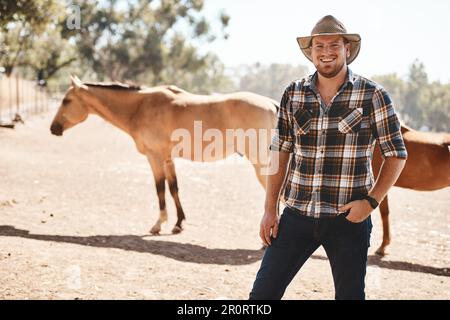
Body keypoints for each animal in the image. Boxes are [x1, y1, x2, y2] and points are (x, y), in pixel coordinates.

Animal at [50, 76, 278, 234]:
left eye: (66, 100)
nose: (53, 128)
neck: (141, 106)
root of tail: (272, 104)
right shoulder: (168, 159)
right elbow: (174, 188)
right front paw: (178, 223)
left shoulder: (155, 158)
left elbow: (160, 189)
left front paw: (158, 224)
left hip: (261, 165)